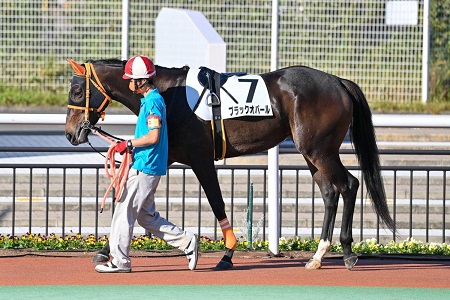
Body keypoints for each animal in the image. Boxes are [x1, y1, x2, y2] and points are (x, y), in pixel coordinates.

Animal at [63, 58, 394, 270]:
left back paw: (347, 252)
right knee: (330, 193)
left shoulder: (200, 159)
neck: (171, 96)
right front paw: (105, 251)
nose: (70, 132)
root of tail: (339, 82)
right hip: (313, 153)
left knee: (348, 184)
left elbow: (216, 202)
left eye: (77, 91)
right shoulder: (168, 153)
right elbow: (128, 198)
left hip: (319, 150)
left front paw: (227, 253)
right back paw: (319, 254)